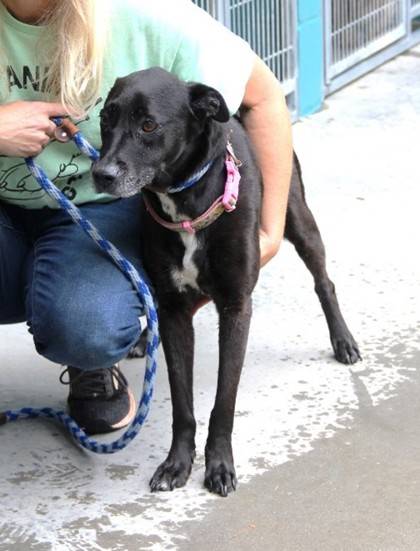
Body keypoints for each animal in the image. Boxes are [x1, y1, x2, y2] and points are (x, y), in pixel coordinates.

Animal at [92, 67, 360, 498]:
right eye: (105, 119)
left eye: (148, 125)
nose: (102, 174)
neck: (186, 206)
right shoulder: (174, 310)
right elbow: (183, 403)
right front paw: (176, 463)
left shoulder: (236, 307)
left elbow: (224, 400)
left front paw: (218, 465)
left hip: (298, 217)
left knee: (324, 282)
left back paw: (344, 341)